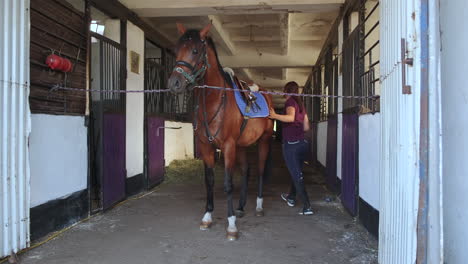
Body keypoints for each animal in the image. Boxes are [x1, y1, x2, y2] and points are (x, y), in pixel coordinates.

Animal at [167, 23, 274, 241]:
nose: (174, 83)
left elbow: (227, 184)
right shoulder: (207, 147)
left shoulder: (228, 146)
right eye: (176, 50)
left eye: (195, 51)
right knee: (246, 170)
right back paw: (241, 207)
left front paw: (231, 225)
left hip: (264, 140)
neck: (214, 99)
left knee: (259, 170)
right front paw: (207, 217)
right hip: (242, 146)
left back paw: (258, 207)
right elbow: (209, 181)